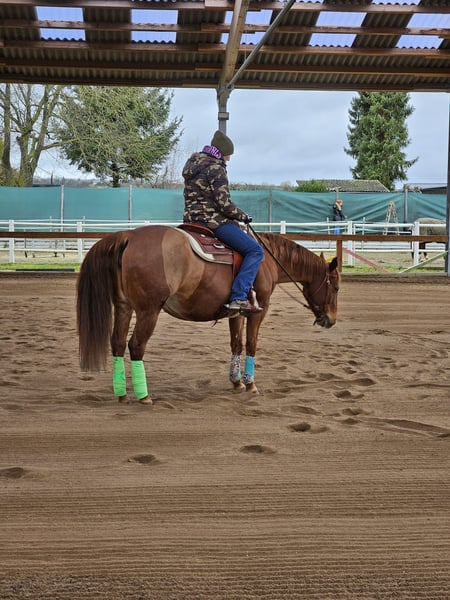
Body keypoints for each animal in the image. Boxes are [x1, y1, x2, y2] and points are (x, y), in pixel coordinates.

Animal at [76, 225, 340, 404]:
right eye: (336, 287)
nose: (331, 320)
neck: (266, 259)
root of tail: (128, 236)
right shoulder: (259, 311)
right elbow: (251, 344)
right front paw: (250, 384)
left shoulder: (237, 313)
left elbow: (236, 344)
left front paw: (236, 382)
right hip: (148, 311)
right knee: (136, 345)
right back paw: (144, 396)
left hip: (124, 307)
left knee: (118, 343)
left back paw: (121, 394)